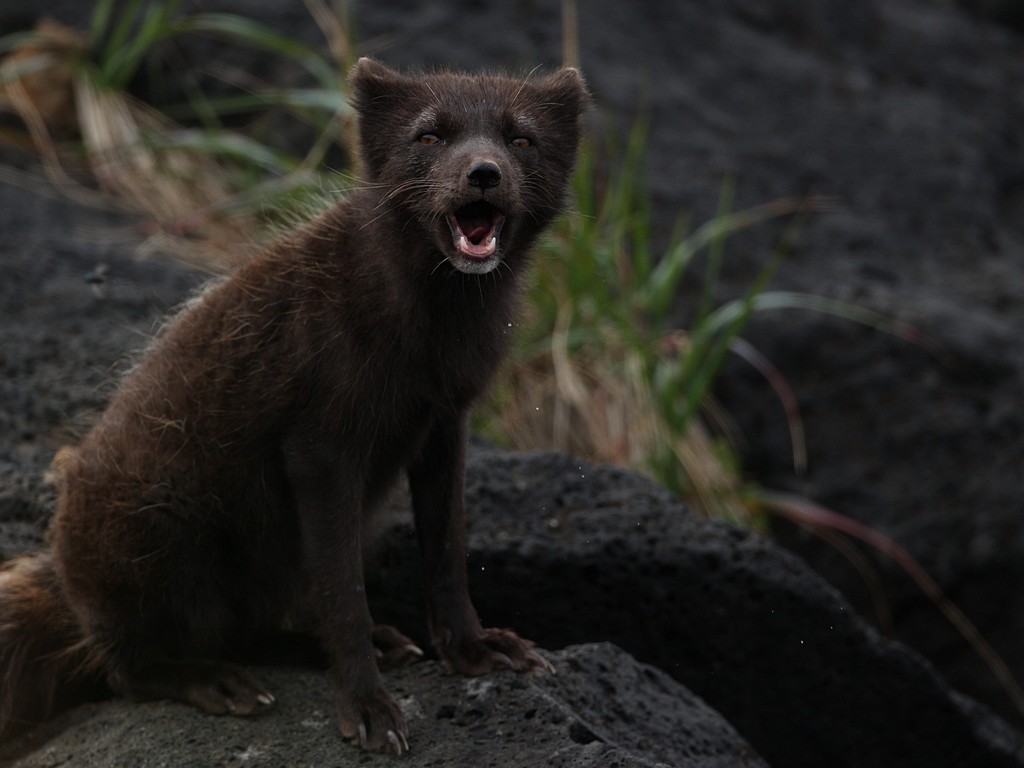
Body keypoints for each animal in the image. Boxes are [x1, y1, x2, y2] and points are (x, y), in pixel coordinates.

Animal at [0, 60, 589, 757]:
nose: (483, 173)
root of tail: (65, 582)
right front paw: (365, 706)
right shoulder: (321, 451)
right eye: (429, 137)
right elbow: (343, 595)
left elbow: (447, 551)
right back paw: (214, 680)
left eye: (520, 139)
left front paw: (472, 650)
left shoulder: (445, 424)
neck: (426, 329)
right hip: (163, 532)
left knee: (246, 629)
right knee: (125, 668)